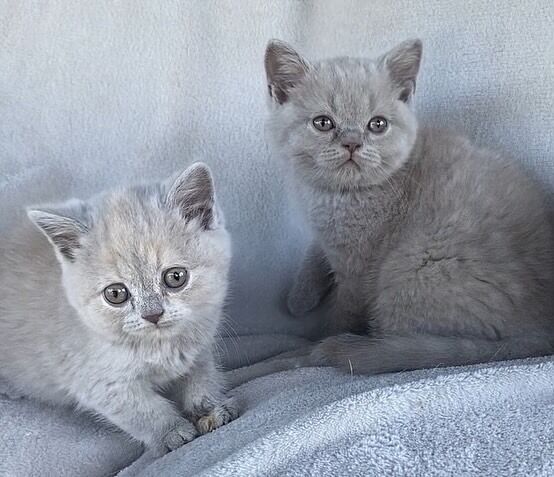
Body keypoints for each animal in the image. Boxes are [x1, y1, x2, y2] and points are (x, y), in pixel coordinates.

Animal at [0, 163, 237, 454]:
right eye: (115, 294)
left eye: (175, 277)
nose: (152, 314)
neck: (163, 346)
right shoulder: (101, 385)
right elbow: (145, 411)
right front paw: (173, 432)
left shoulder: (199, 349)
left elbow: (202, 377)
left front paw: (209, 408)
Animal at [254, 38, 552, 376]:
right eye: (323, 123)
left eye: (377, 124)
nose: (352, 143)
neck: (335, 196)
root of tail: (542, 331)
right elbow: (315, 252)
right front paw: (299, 297)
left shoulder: (357, 269)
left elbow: (342, 312)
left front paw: (319, 337)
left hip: (411, 268)